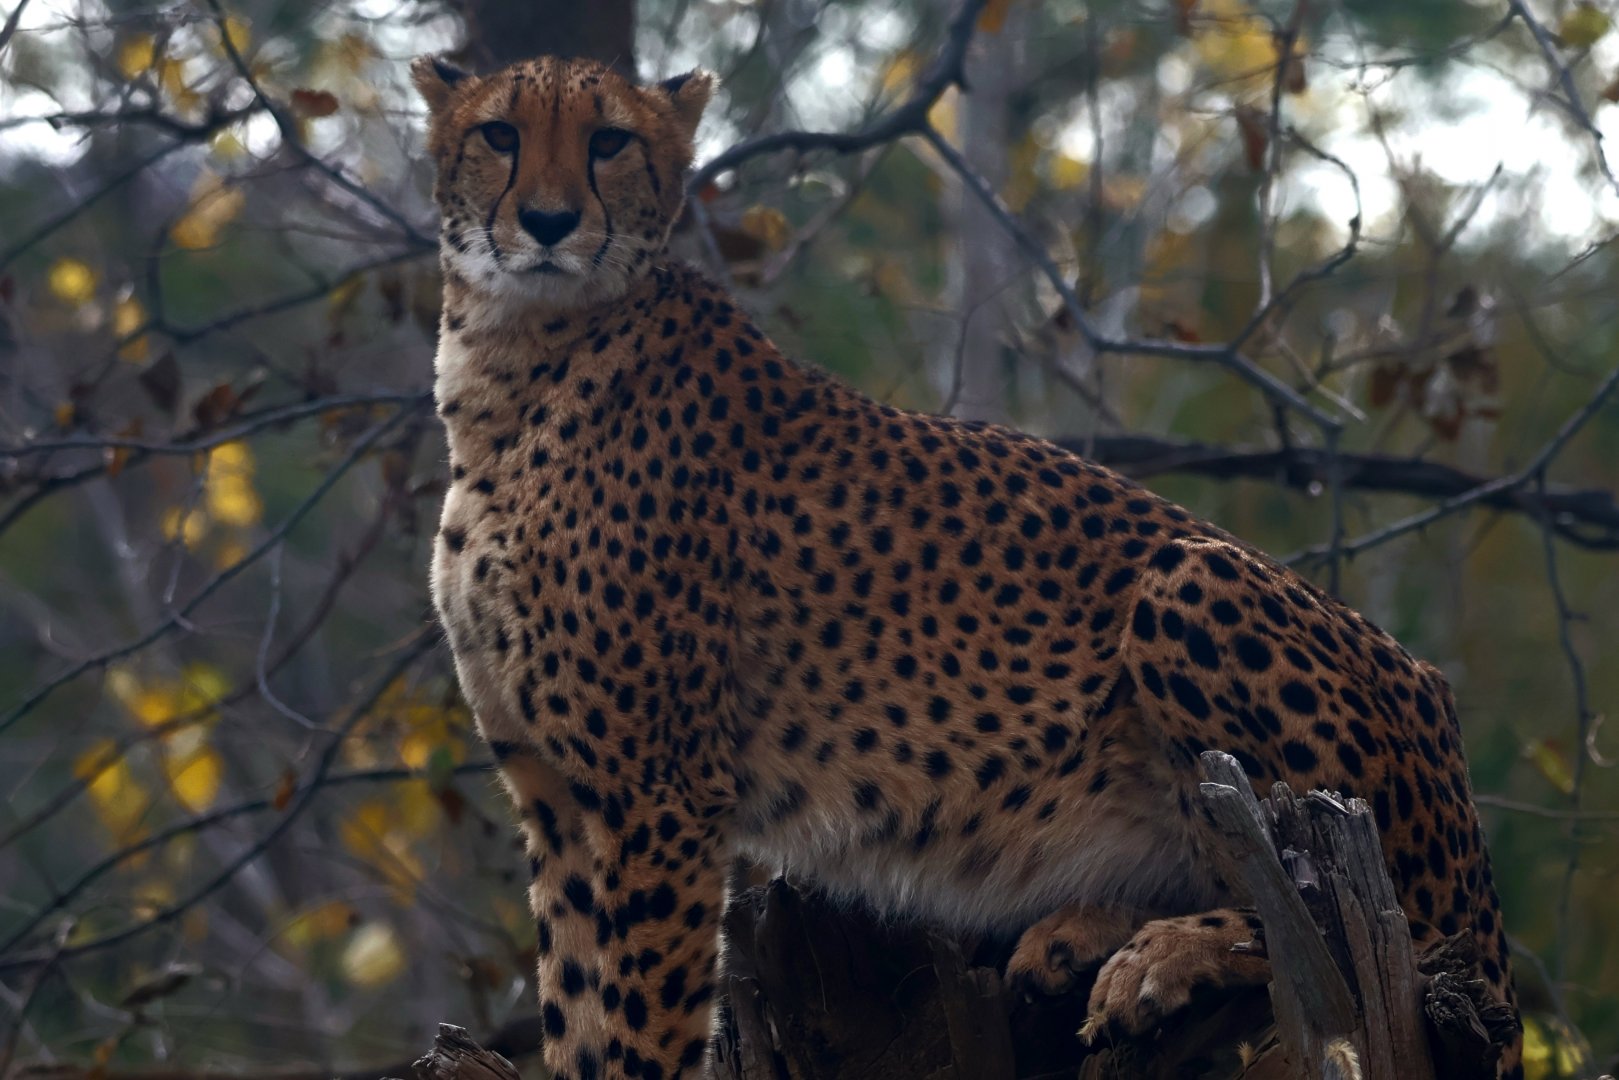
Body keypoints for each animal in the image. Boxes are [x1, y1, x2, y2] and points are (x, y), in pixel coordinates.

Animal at [412, 52, 1522, 1080]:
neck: (507, 363)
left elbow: (641, 1022)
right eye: (500, 134)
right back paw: (1079, 937)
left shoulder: (657, 790)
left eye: (609, 141)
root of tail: (1439, 701)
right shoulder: (556, 796)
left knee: (1401, 938)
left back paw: (1153, 959)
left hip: (1188, 584)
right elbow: (578, 1009)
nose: (547, 222)